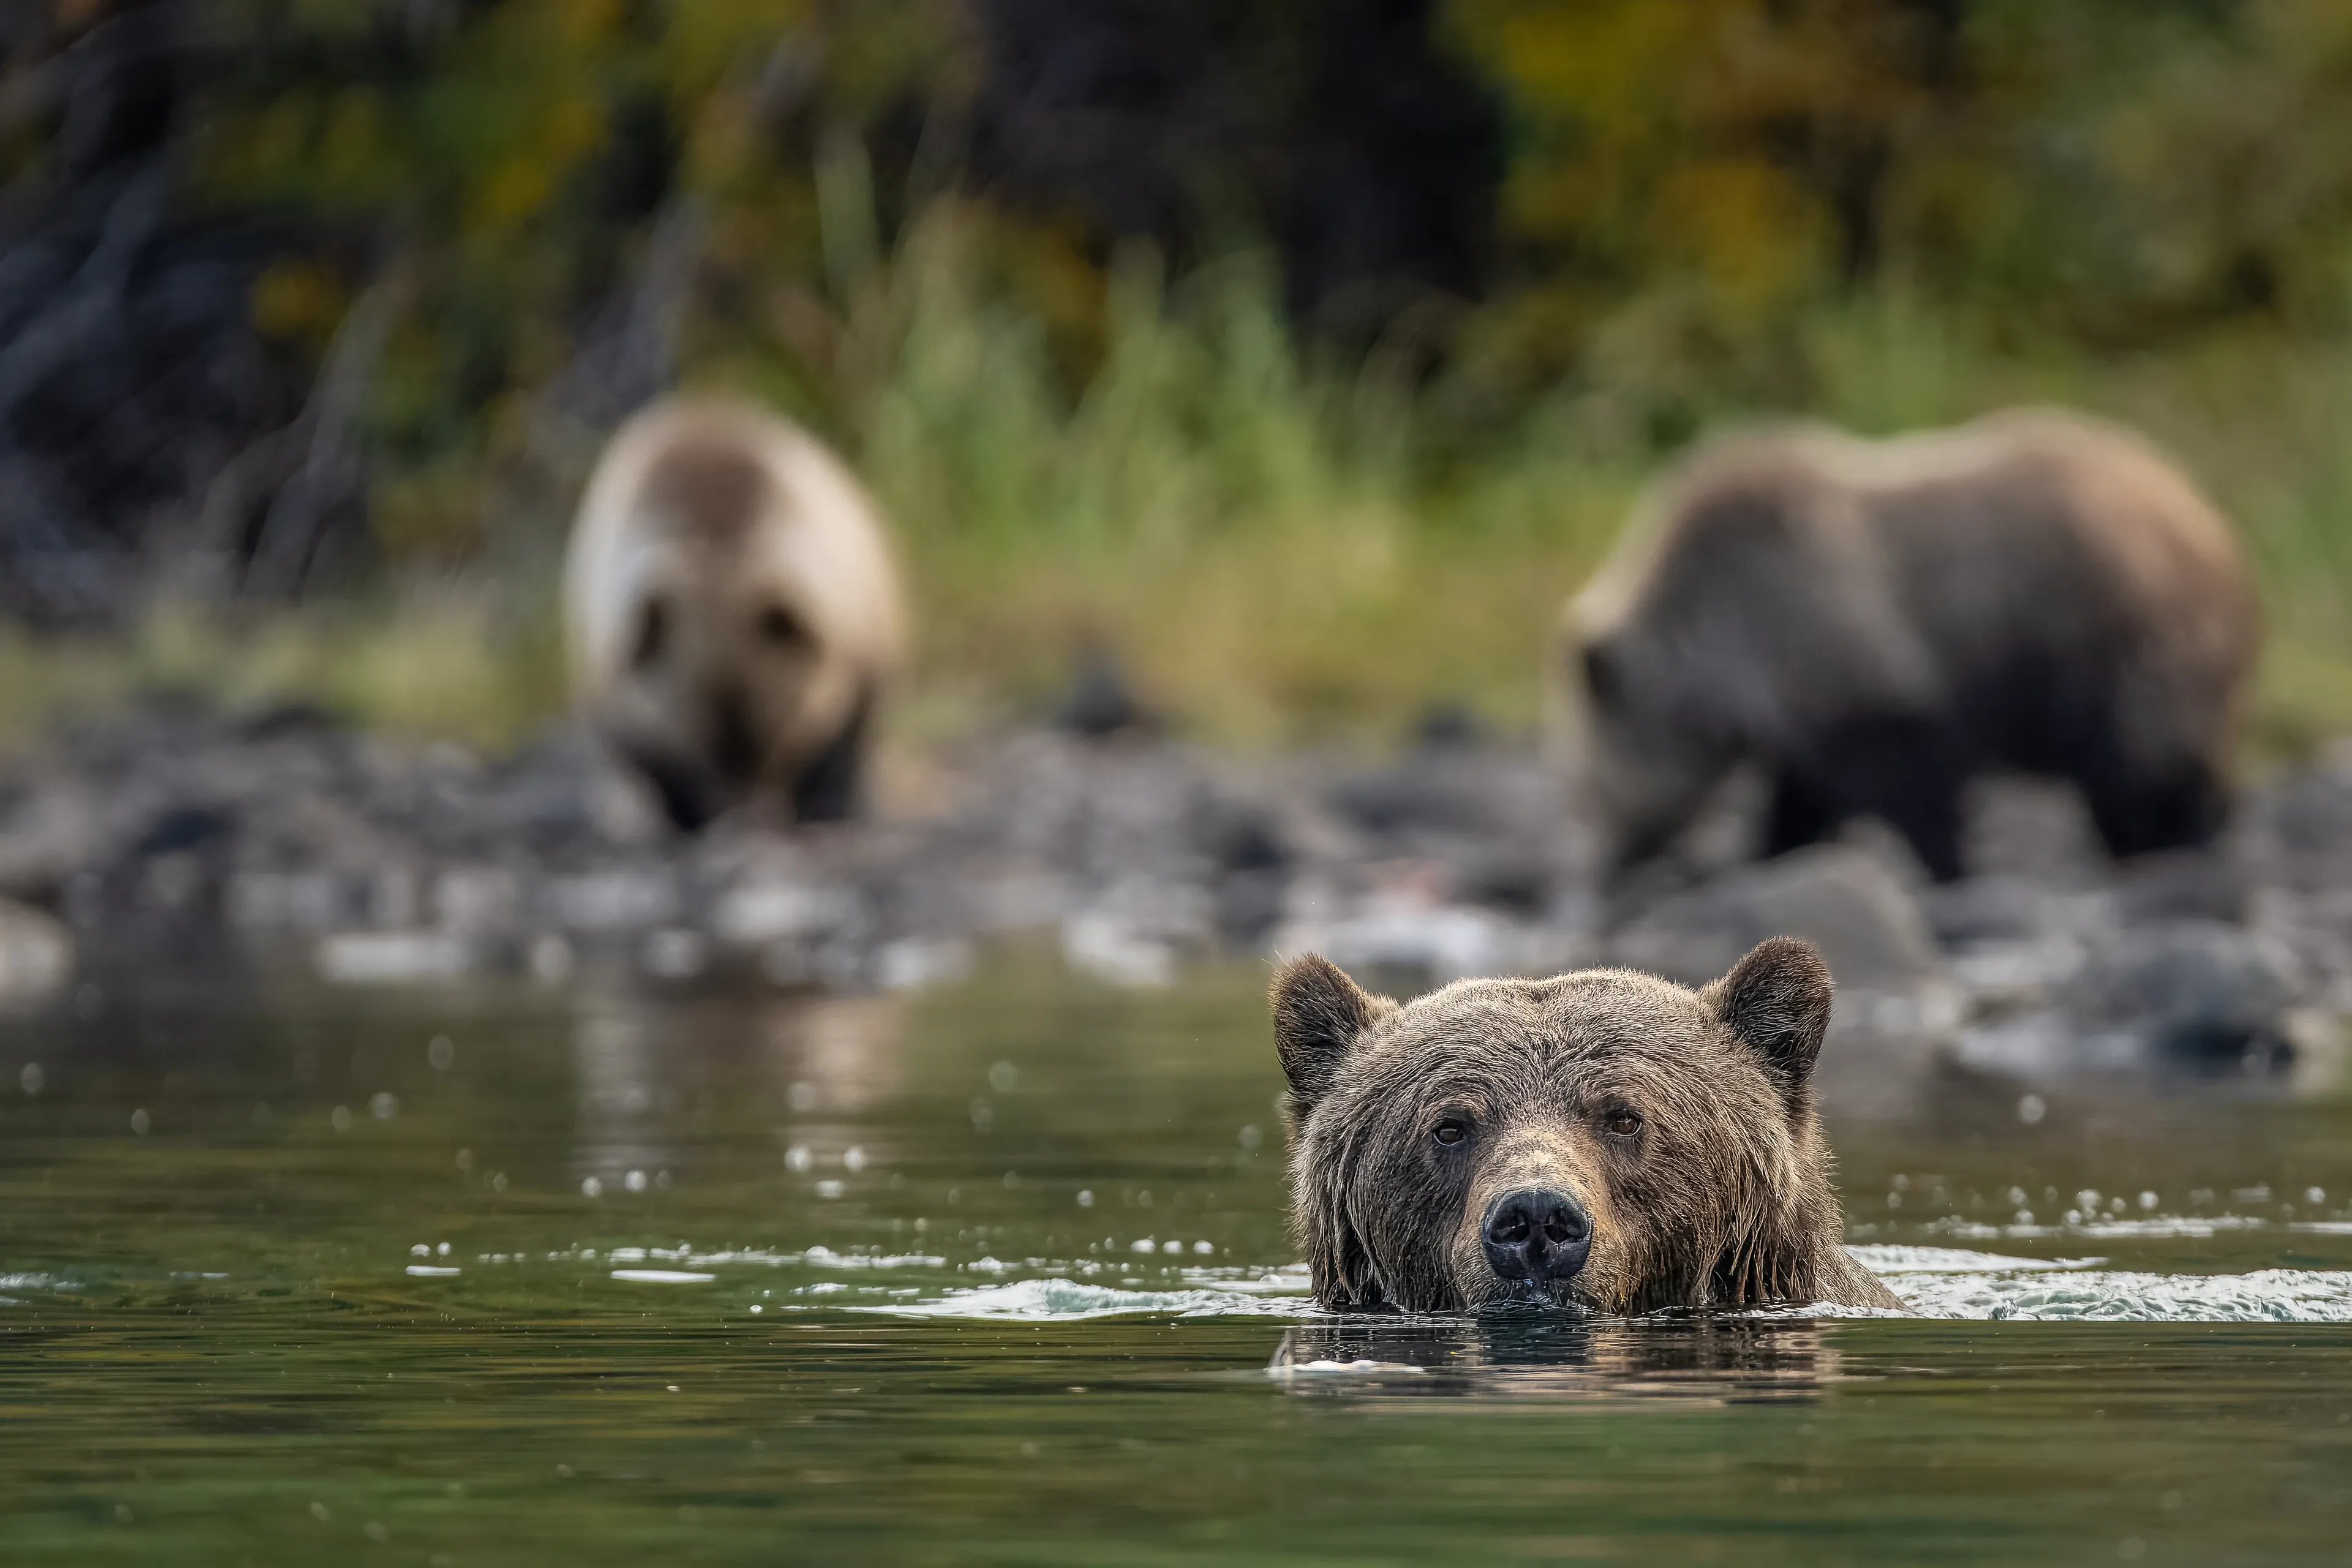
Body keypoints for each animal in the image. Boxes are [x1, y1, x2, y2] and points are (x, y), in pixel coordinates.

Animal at [564, 398, 908, 831]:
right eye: (702, 744)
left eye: (770, 738)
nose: (746, 815)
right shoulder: (626, 692)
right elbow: (656, 760)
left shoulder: (853, 632)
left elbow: (841, 738)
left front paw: (825, 803)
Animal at [1562, 409, 2259, 883]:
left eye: (1590, 787)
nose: (1606, 865)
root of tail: (2208, 518)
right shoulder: (1802, 693)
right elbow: (1805, 793)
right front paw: (1777, 850)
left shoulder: (1837, 637)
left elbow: (1908, 774)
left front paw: (1946, 862)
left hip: (2113, 624)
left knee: (2142, 754)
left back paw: (2172, 841)